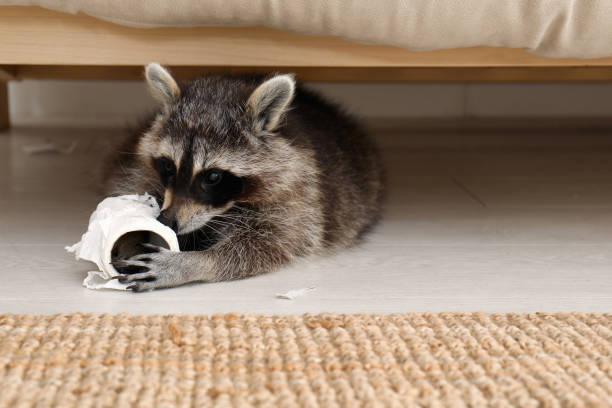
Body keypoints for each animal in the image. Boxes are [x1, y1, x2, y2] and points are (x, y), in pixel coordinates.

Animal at [104, 63, 382, 292]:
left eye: (213, 176)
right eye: (169, 167)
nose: (167, 221)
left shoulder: (300, 197)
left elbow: (270, 244)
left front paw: (194, 262)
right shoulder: (142, 171)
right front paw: (129, 235)